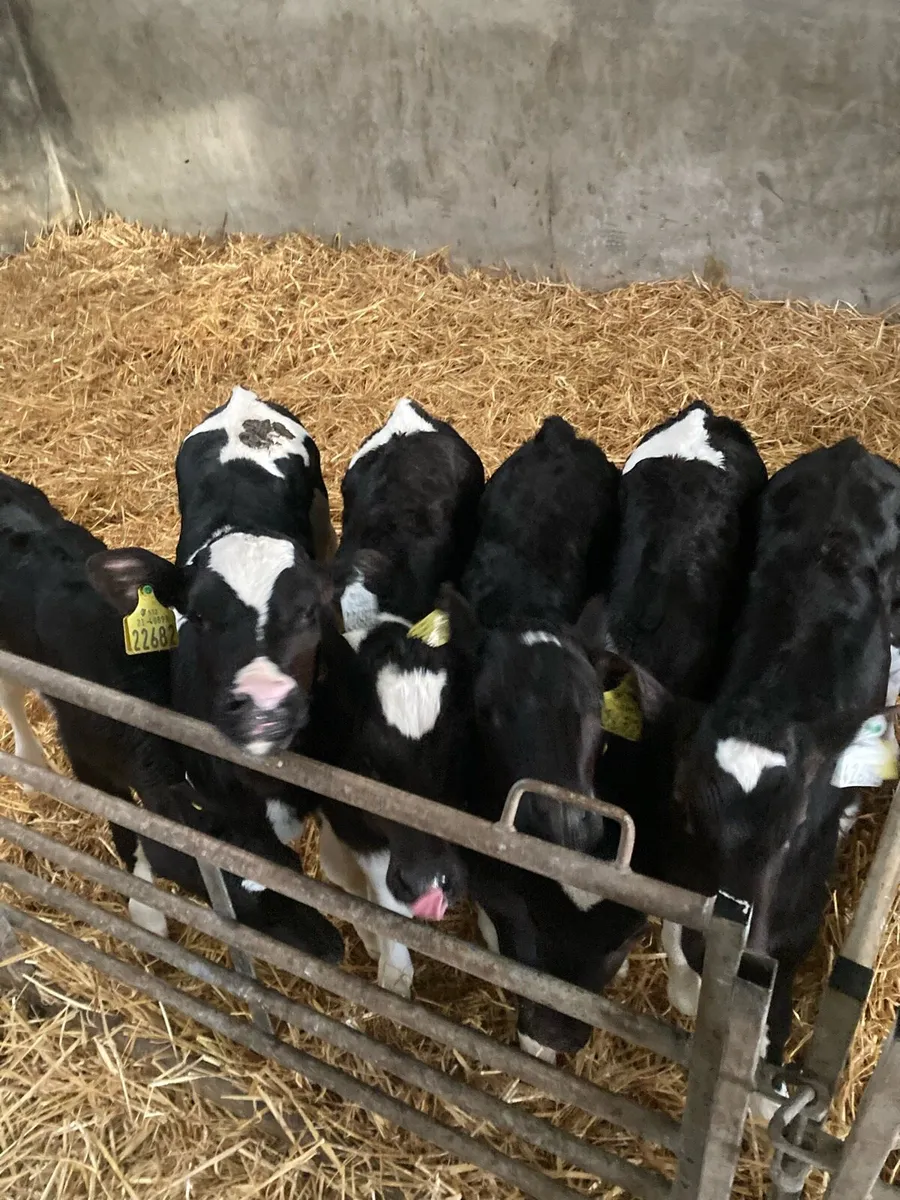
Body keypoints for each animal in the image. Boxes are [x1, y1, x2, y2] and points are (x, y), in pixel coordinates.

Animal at [0, 471, 343, 962]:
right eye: (244, 905)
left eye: (291, 867)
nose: (333, 949)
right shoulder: (85, 757)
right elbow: (127, 830)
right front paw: (147, 913)